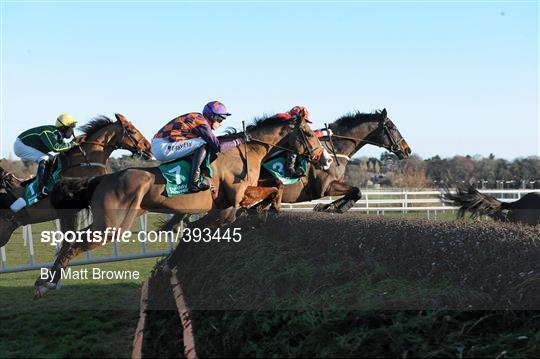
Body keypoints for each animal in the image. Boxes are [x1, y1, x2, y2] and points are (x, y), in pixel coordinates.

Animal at [35, 113, 326, 298]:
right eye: (309, 133)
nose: (322, 159)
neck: (245, 152)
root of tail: (103, 178)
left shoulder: (228, 204)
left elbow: (274, 186)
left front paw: (267, 208)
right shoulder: (229, 207)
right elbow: (191, 234)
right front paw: (270, 209)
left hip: (108, 223)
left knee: (72, 241)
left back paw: (47, 280)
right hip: (112, 227)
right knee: (74, 244)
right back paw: (46, 284)